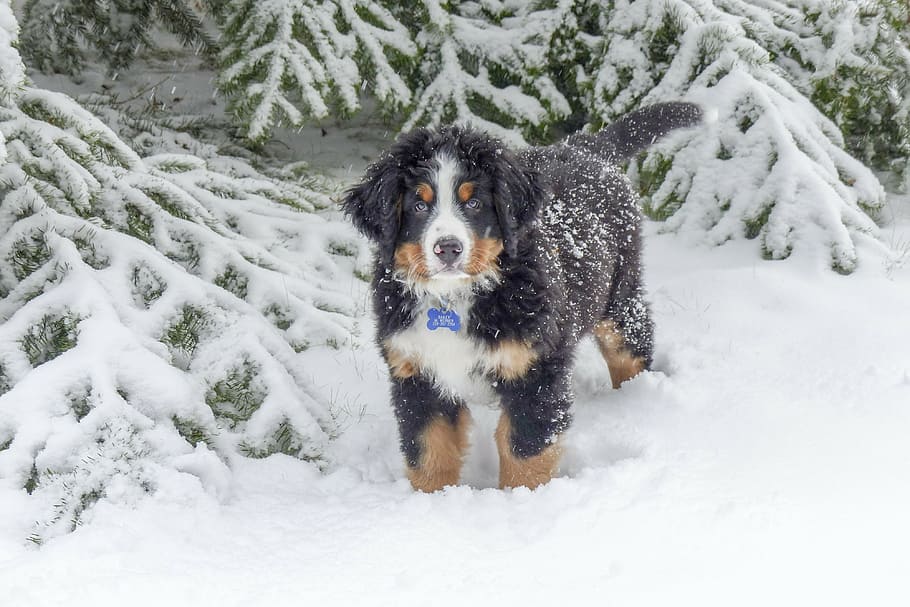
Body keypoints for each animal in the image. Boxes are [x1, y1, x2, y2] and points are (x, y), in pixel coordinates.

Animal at [342, 102, 704, 492]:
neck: (455, 297)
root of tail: (585, 146)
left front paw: (521, 501)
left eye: (475, 203)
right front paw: (430, 501)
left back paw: (635, 400)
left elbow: (524, 452)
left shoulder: (534, 371)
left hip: (619, 297)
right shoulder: (416, 373)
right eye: (419, 206)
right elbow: (428, 454)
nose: (448, 248)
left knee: (631, 350)